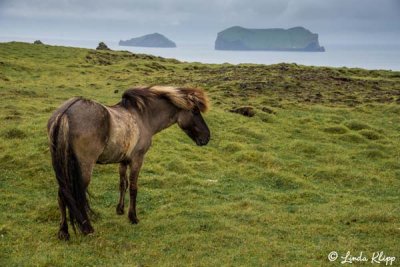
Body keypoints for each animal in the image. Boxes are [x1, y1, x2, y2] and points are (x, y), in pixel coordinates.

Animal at [47, 86, 211, 241]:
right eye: (195, 111)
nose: (207, 137)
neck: (143, 117)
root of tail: (64, 114)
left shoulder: (124, 160)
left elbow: (122, 184)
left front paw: (120, 209)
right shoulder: (137, 159)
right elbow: (133, 187)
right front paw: (133, 217)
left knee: (62, 195)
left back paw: (63, 231)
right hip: (84, 168)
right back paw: (87, 229)